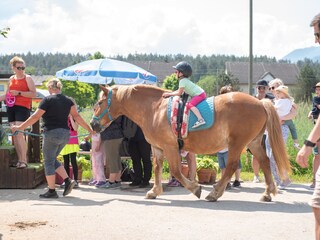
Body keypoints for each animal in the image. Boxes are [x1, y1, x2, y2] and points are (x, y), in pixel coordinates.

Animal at [91, 84, 292, 201]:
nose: (93, 124)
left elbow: (176, 171)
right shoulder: (157, 147)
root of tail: (261, 103)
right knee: (265, 162)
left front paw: (195, 188)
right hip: (254, 142)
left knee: (231, 166)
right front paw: (154, 191)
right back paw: (267, 193)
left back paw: (215, 193)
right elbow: (157, 168)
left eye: (99, 103)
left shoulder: (170, 147)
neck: (154, 108)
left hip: (237, 144)